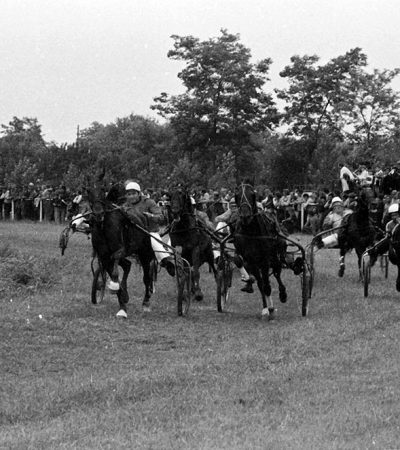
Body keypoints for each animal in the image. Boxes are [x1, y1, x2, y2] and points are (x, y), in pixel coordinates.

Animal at [86, 182, 155, 316]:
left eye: (103, 192)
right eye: (89, 193)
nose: (98, 213)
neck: (103, 227)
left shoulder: (120, 249)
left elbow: (115, 264)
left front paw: (118, 290)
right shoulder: (103, 257)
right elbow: (113, 272)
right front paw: (122, 304)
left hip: (144, 254)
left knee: (146, 277)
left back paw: (146, 302)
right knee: (127, 264)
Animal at [234, 181, 288, 318]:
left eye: (252, 194)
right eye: (236, 195)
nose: (245, 216)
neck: (251, 232)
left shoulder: (265, 260)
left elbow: (267, 285)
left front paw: (271, 309)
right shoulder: (251, 260)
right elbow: (260, 283)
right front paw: (266, 308)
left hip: (275, 257)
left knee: (277, 273)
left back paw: (282, 294)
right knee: (262, 281)